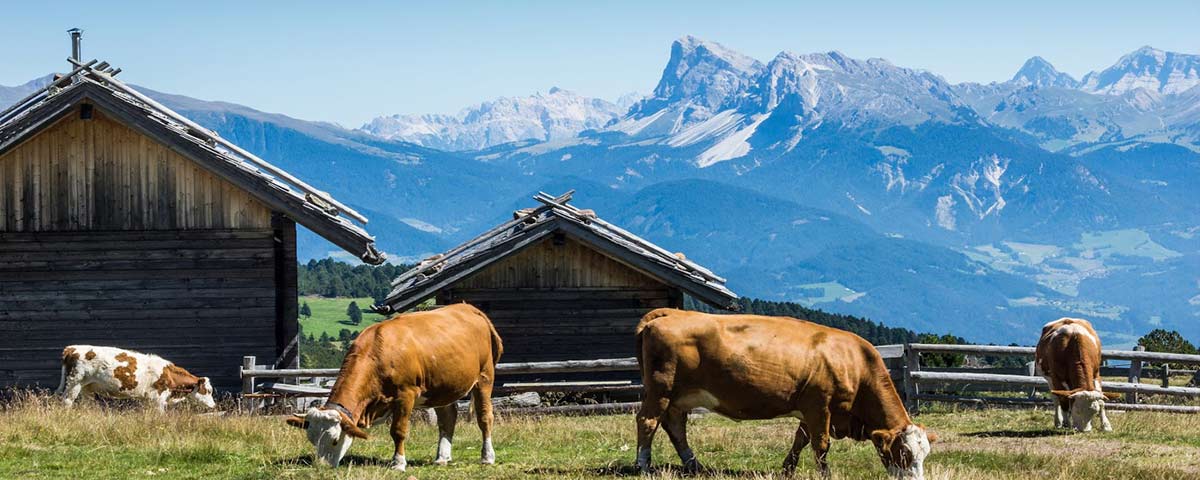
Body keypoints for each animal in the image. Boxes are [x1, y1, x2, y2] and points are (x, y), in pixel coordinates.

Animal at [57, 345, 216, 412]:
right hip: (74, 382)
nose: (214, 406)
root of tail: (71, 348)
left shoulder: (148, 399)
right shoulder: (158, 398)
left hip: (86, 388)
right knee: (67, 402)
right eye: (207, 391)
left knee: (87, 404)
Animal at [288, 303, 504, 468]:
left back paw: (487, 457)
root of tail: (470, 308)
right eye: (312, 439)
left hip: (484, 377)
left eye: (334, 440)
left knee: (485, 417)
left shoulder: (405, 394)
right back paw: (442, 458)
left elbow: (398, 431)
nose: (322, 467)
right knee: (447, 419)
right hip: (443, 387)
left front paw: (398, 463)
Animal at [633, 309, 931, 477]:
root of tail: (671, 313)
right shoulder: (820, 406)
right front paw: (825, 474)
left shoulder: (810, 409)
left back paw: (695, 465)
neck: (854, 363)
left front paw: (788, 468)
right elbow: (821, 444)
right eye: (904, 453)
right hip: (661, 389)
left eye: (924, 454)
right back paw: (643, 465)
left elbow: (800, 440)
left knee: (675, 426)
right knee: (648, 422)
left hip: (677, 397)